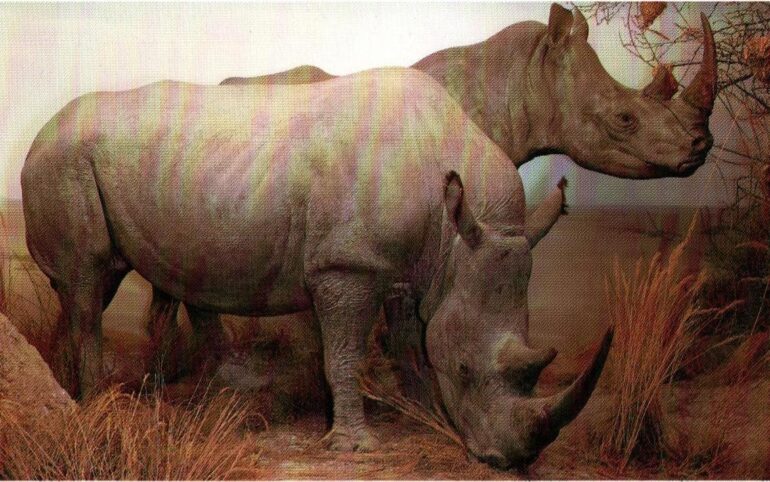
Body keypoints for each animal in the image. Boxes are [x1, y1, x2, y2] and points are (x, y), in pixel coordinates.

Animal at [22, 67, 611, 467]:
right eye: (465, 370)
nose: (510, 460)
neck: (456, 235)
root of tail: (38, 134)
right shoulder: (347, 265)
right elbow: (345, 354)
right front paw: (353, 445)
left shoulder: (410, 265)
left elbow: (411, 343)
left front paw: (423, 416)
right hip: (61, 163)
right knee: (87, 280)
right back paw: (98, 405)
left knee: (114, 283)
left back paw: (139, 392)